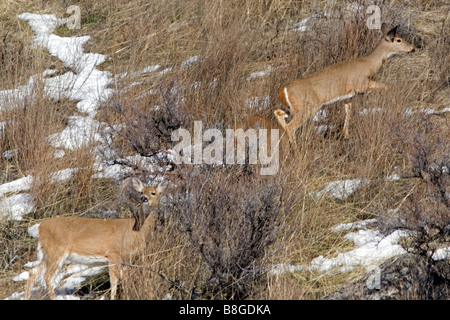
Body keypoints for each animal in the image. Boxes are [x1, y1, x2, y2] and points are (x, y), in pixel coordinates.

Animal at [24, 178, 166, 300]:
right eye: (141, 192)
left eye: (153, 193)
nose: (144, 198)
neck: (134, 230)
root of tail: (40, 227)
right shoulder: (113, 253)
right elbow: (114, 281)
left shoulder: (127, 259)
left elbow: (125, 279)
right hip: (56, 251)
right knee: (47, 277)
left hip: (46, 254)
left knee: (32, 272)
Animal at [276, 23, 416, 147]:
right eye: (398, 40)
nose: (413, 48)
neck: (369, 65)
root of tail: (283, 89)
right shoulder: (362, 84)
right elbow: (385, 85)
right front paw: (398, 108)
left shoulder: (349, 95)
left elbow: (348, 110)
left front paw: (346, 135)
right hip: (307, 107)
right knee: (290, 126)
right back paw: (295, 150)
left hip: (292, 108)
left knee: (279, 114)